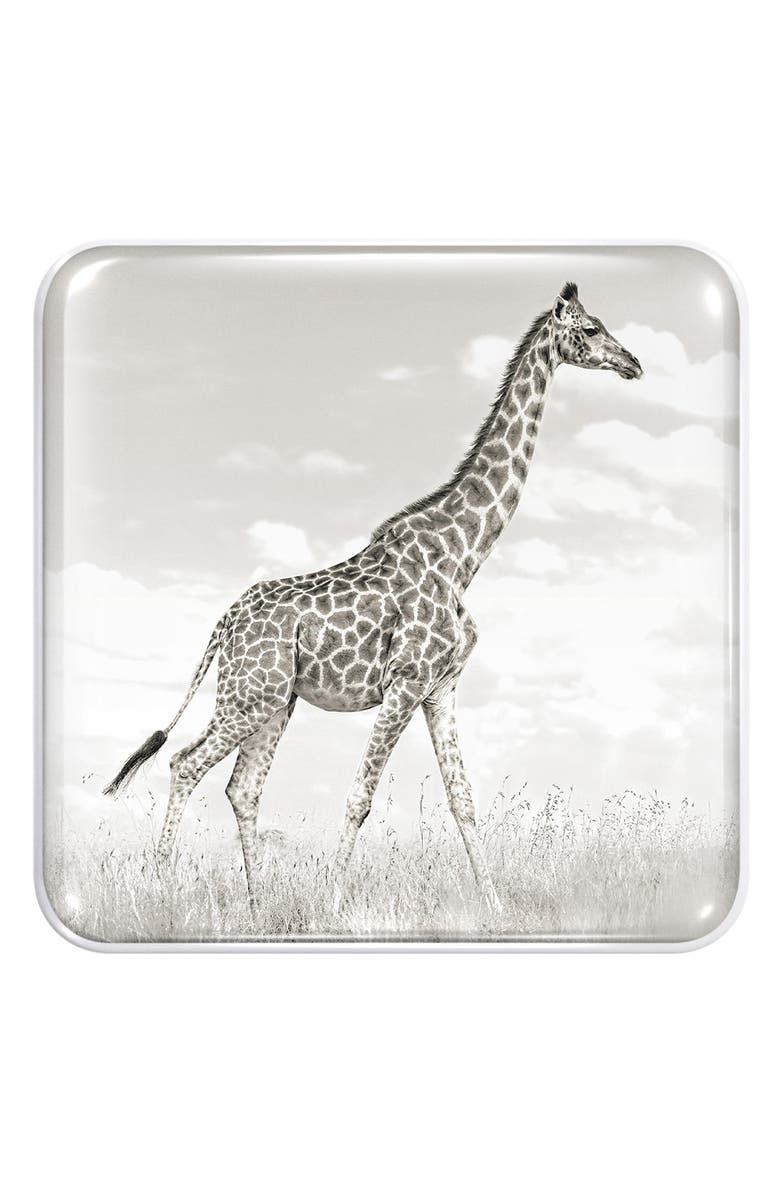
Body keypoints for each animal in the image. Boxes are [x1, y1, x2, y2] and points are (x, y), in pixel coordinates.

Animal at [103, 282, 642, 915]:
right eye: (590, 329)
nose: (634, 363)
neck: (463, 557)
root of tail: (223, 624)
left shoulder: (440, 688)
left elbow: (463, 798)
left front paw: (494, 906)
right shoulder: (406, 682)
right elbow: (360, 796)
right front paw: (334, 904)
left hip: (275, 701)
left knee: (242, 787)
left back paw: (258, 903)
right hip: (248, 697)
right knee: (185, 763)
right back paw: (161, 885)